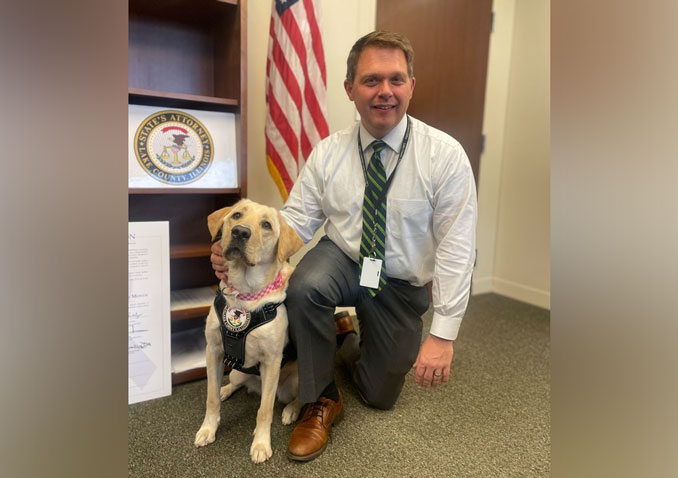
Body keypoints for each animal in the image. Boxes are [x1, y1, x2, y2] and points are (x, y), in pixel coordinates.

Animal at [194, 199, 306, 464]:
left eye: (266, 225)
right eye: (236, 215)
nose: (240, 232)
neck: (244, 295)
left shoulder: (272, 361)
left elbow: (264, 410)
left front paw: (261, 444)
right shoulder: (213, 351)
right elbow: (210, 398)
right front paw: (208, 429)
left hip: (295, 379)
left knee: (295, 398)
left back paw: (290, 411)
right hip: (237, 372)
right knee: (233, 384)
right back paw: (225, 389)